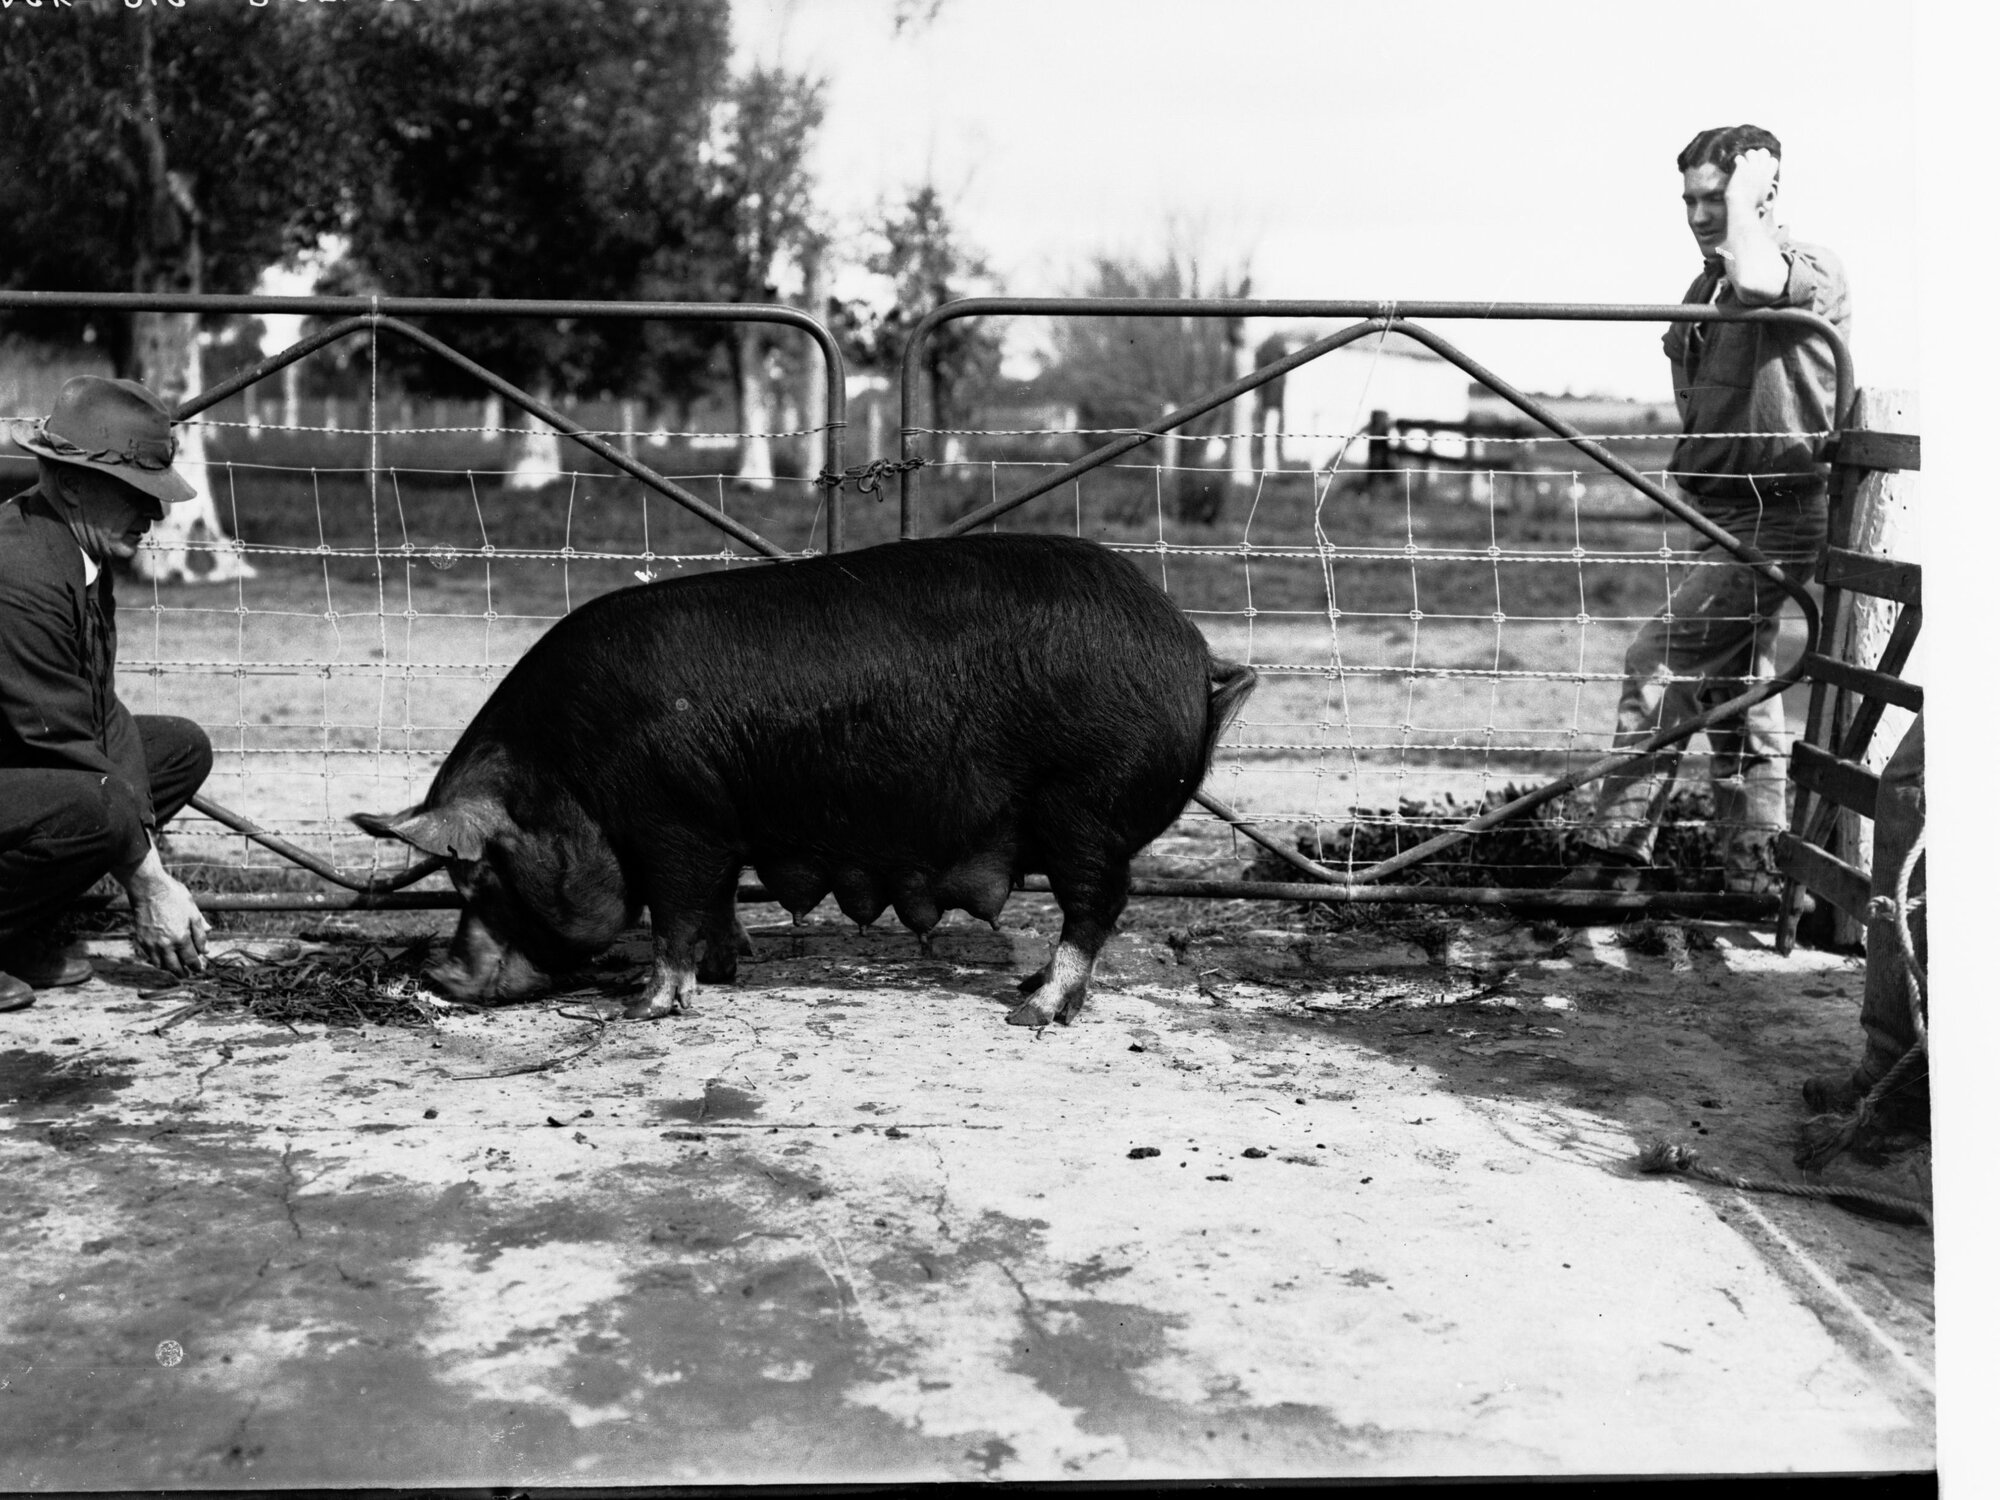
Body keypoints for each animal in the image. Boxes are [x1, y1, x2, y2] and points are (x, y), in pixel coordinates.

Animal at [353, 532, 1256, 1028]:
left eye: (478, 875)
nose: (436, 973)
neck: (569, 772)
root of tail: (1192, 650)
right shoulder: (718, 826)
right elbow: (715, 903)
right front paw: (727, 968)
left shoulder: (672, 823)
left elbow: (675, 911)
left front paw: (644, 1004)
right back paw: (1030, 985)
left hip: (1086, 809)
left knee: (1095, 907)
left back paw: (1030, 1009)